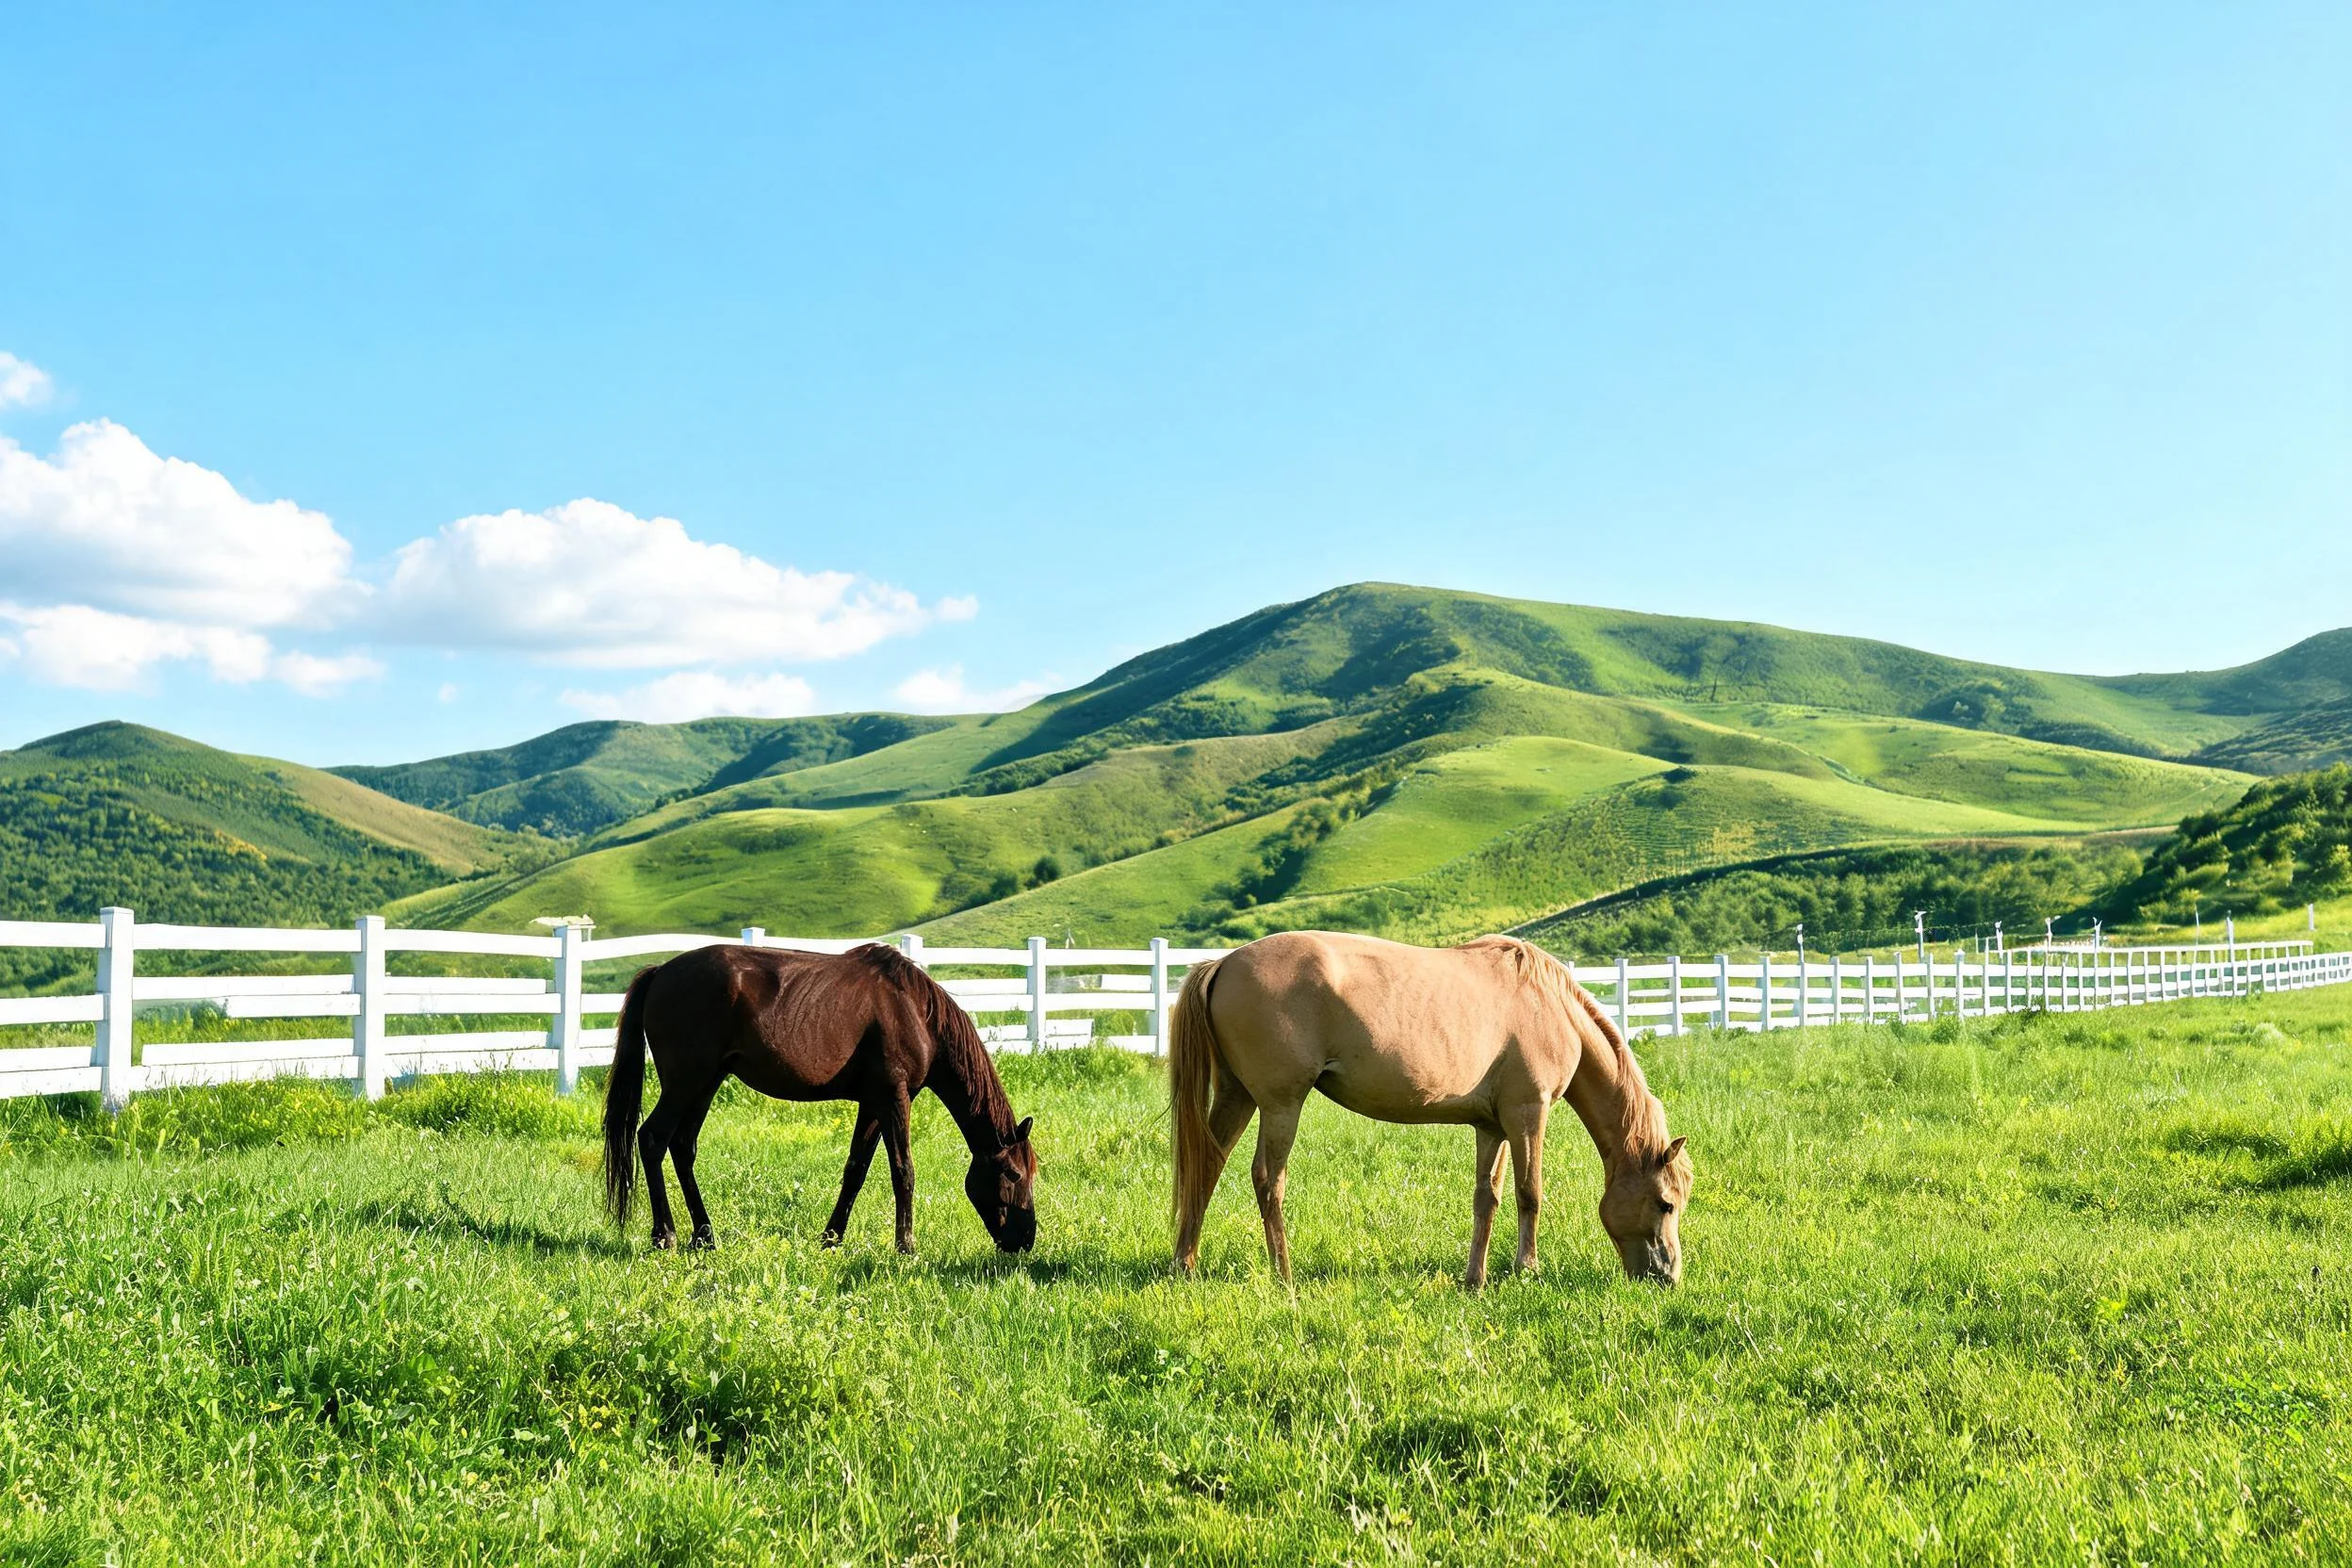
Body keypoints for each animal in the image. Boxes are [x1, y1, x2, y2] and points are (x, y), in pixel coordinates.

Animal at [601, 942, 1037, 1254]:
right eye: (1014, 1174)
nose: (1025, 1240)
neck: (915, 1011)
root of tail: (660, 973)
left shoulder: (873, 1104)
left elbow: (856, 1170)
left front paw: (831, 1238)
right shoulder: (895, 1099)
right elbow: (903, 1172)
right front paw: (906, 1247)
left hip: (706, 1083)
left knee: (682, 1146)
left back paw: (704, 1235)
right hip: (684, 1084)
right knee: (652, 1139)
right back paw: (665, 1235)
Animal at [1170, 931, 1691, 1288]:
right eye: (1665, 1203)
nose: (1667, 1276)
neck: (1550, 1006)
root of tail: (1224, 962)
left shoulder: (1493, 1127)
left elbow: (1487, 1198)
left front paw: (1476, 1279)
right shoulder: (1529, 1113)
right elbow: (1530, 1194)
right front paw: (1526, 1270)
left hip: (1237, 1097)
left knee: (1206, 1166)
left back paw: (1184, 1264)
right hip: (1281, 1104)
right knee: (1267, 1180)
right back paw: (1284, 1274)